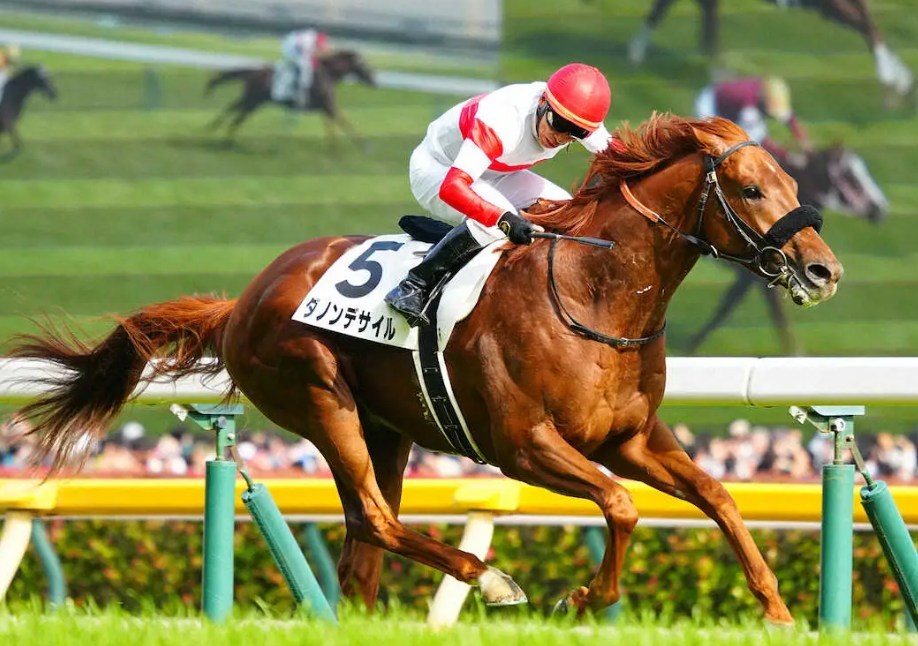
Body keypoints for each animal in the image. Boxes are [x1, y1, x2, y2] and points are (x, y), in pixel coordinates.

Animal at [9, 115, 841, 621]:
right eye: (751, 188)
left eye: (796, 186)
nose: (824, 270)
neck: (593, 290)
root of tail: (242, 299)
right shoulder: (522, 445)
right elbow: (621, 505)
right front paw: (580, 596)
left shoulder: (630, 438)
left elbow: (717, 496)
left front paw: (777, 609)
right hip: (320, 398)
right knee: (375, 518)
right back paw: (492, 580)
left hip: (388, 428)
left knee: (363, 538)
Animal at [204, 49, 375, 146]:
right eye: (364, 64)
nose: (373, 80)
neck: (328, 74)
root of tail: (253, 71)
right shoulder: (329, 107)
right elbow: (345, 122)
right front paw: (364, 145)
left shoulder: (327, 108)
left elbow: (335, 125)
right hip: (253, 101)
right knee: (237, 116)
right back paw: (226, 139)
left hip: (253, 100)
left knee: (232, 108)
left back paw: (216, 129)